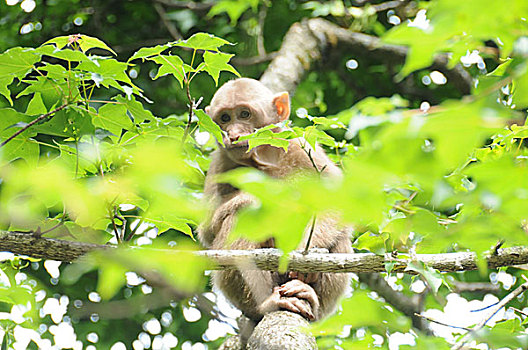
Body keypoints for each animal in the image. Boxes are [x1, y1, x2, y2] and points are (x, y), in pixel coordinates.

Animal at [198, 78, 350, 326]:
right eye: (225, 118)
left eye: (244, 114)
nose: (234, 134)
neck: (263, 158)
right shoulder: (220, 163)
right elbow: (207, 230)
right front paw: (260, 196)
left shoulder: (300, 147)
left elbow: (336, 202)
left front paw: (305, 258)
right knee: (239, 217)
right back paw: (264, 304)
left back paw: (310, 295)